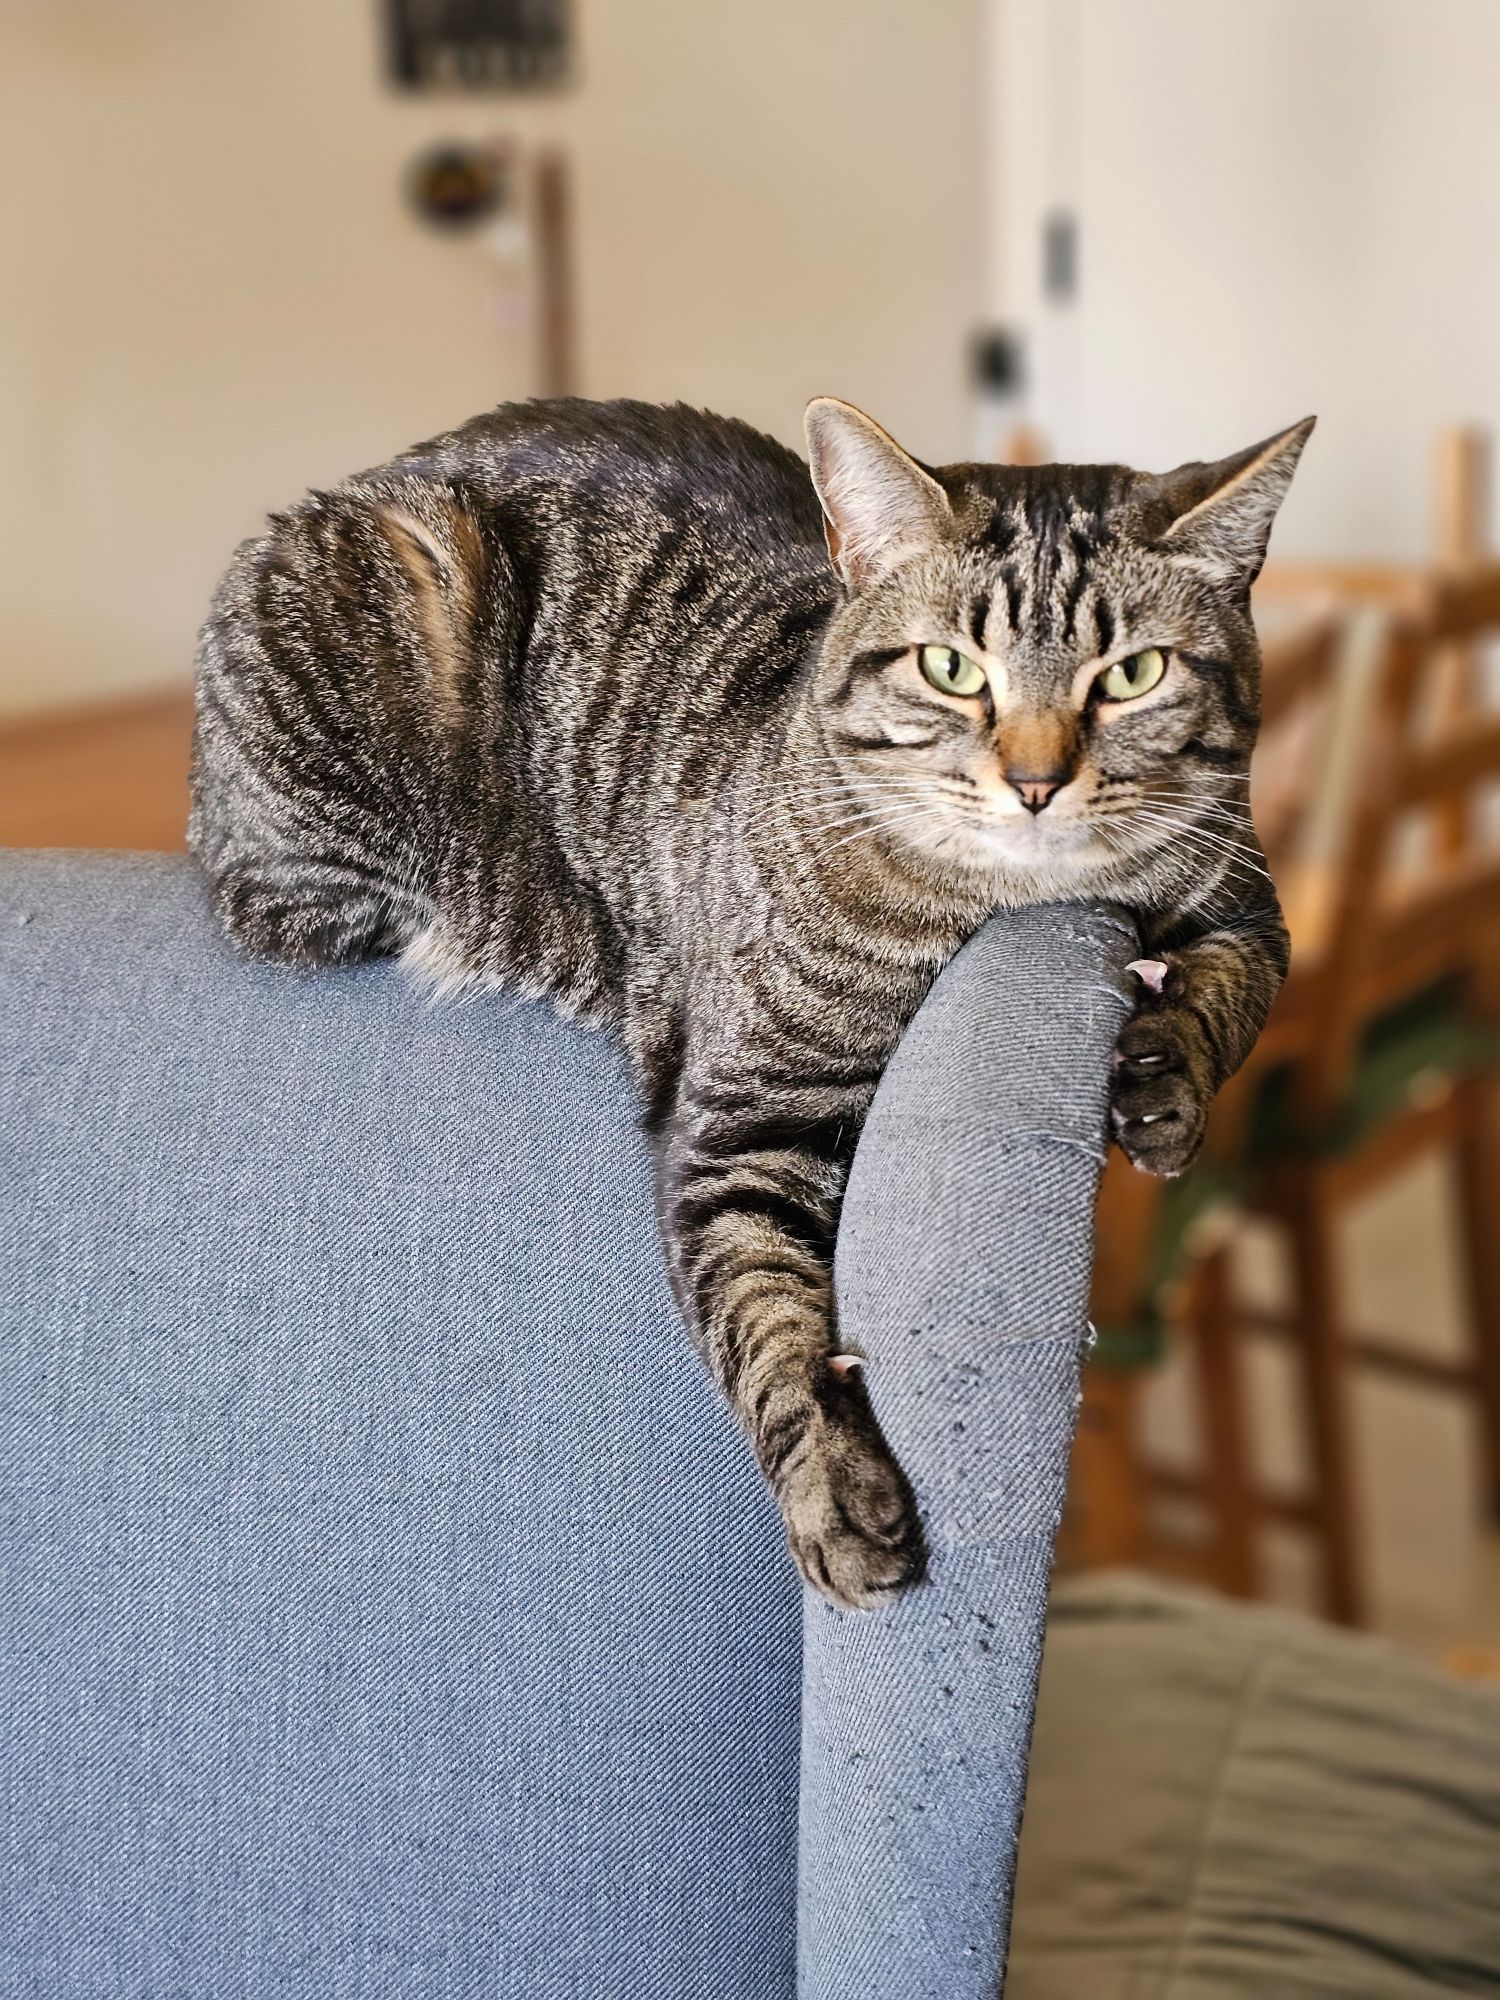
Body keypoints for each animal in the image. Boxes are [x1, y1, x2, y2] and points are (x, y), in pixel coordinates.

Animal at [194, 390, 1312, 1608]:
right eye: (952, 669)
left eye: (1134, 674)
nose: (1035, 780)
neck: (1008, 894)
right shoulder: (745, 1119)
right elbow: (765, 1319)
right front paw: (832, 1488)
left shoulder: (1251, 900)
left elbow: (1232, 989)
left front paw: (1163, 1076)